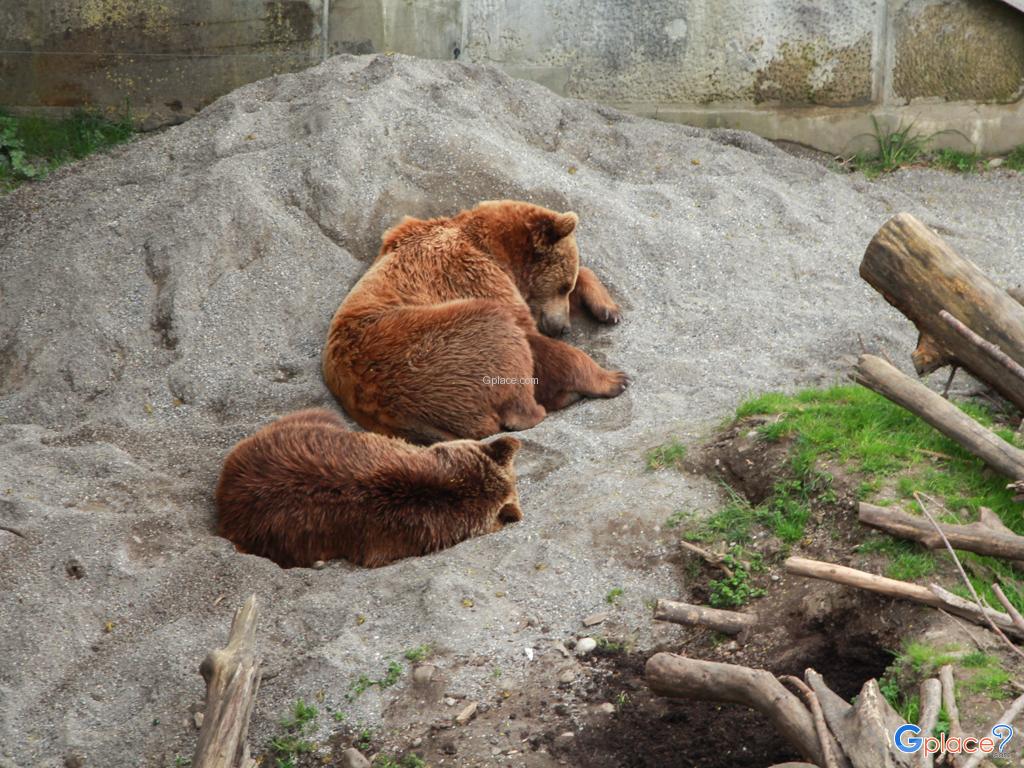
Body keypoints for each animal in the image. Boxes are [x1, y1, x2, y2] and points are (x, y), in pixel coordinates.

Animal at [322, 200, 628, 444]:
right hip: (425, 350)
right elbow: (533, 340)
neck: (499, 252)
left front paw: (608, 308)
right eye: (563, 285)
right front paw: (613, 378)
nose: (562, 327)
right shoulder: (468, 275)